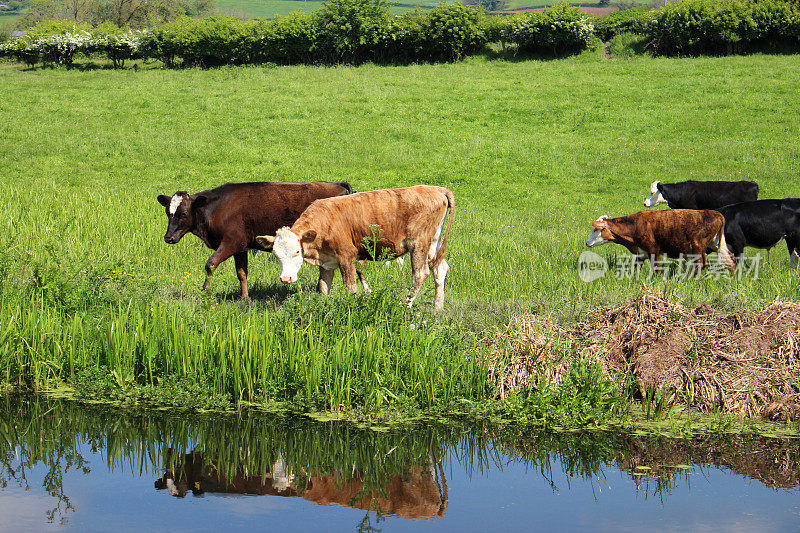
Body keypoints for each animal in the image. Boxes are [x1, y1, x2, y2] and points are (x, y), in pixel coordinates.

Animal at [158, 181, 352, 300]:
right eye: (168, 212)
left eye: (183, 213)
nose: (169, 237)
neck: (216, 208)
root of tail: (337, 184)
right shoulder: (241, 248)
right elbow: (241, 273)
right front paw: (244, 297)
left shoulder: (231, 242)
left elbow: (210, 264)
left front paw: (205, 290)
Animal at [256, 186, 456, 312]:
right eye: (276, 255)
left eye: (297, 252)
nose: (286, 278)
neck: (326, 222)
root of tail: (437, 189)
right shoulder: (326, 263)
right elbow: (322, 288)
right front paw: (322, 309)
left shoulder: (346, 257)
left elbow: (351, 287)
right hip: (433, 244)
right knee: (440, 269)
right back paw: (437, 309)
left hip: (419, 243)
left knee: (420, 274)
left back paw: (405, 306)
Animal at [584, 208, 736, 270]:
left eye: (595, 230)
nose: (587, 242)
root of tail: (716, 214)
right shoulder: (641, 253)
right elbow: (635, 269)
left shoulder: (653, 250)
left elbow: (656, 268)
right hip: (716, 244)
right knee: (731, 259)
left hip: (698, 246)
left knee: (700, 265)